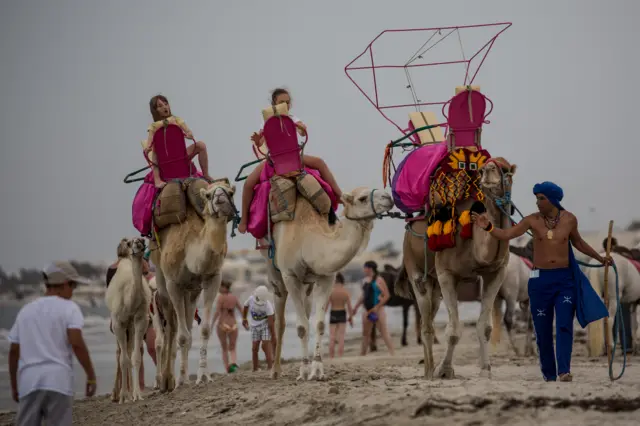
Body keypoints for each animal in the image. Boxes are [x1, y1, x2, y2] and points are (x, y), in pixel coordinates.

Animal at [107, 238, 154, 404]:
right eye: (131, 242)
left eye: (141, 240)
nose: (139, 243)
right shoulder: (118, 323)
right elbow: (123, 360)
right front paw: (123, 397)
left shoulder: (140, 320)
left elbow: (135, 357)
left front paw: (137, 395)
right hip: (118, 326)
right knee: (119, 353)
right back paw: (116, 394)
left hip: (130, 327)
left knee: (128, 350)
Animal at [149, 178, 236, 392]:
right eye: (208, 195)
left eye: (231, 192)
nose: (221, 201)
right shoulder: (174, 284)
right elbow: (181, 336)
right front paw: (179, 381)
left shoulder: (212, 279)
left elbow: (203, 329)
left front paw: (202, 376)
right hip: (161, 277)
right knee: (170, 327)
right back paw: (166, 381)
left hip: (192, 292)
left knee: (186, 322)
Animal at [262, 186, 392, 380]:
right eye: (362, 198)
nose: (389, 197)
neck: (307, 240)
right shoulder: (290, 276)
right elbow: (301, 327)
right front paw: (304, 371)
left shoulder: (327, 277)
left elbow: (320, 324)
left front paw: (317, 370)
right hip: (274, 270)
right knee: (280, 319)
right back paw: (276, 370)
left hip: (307, 285)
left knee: (306, 311)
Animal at [396, 157, 516, 380]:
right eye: (482, 169)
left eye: (505, 170)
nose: (488, 171)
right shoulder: (446, 273)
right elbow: (453, 330)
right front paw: (444, 370)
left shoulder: (496, 272)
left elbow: (485, 327)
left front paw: (486, 369)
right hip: (413, 265)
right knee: (426, 322)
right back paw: (429, 372)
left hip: (435, 286)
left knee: (430, 314)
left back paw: (428, 368)